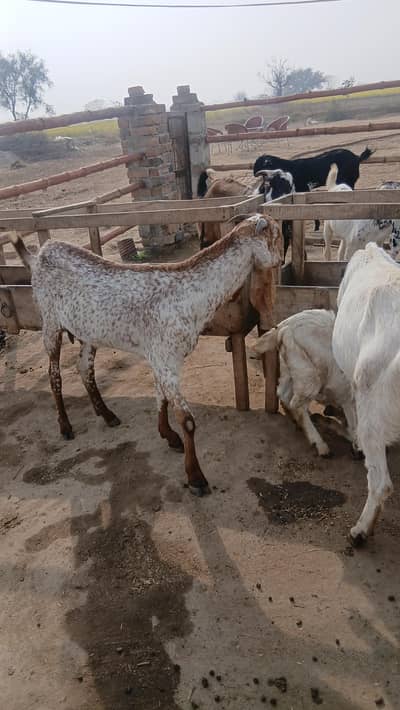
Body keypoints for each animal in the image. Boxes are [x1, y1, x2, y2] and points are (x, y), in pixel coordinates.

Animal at [10, 215, 282, 495]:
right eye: (277, 234)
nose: (280, 261)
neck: (188, 295)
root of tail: (38, 255)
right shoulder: (166, 358)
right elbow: (187, 420)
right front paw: (195, 477)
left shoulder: (160, 358)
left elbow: (160, 398)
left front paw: (168, 436)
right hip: (50, 322)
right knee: (54, 374)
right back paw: (65, 427)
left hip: (88, 333)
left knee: (84, 368)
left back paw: (107, 415)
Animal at [249, 309, 356, 458]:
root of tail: (283, 326)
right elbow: (355, 429)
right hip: (310, 379)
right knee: (297, 404)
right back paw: (320, 444)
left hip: (293, 369)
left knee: (284, 394)